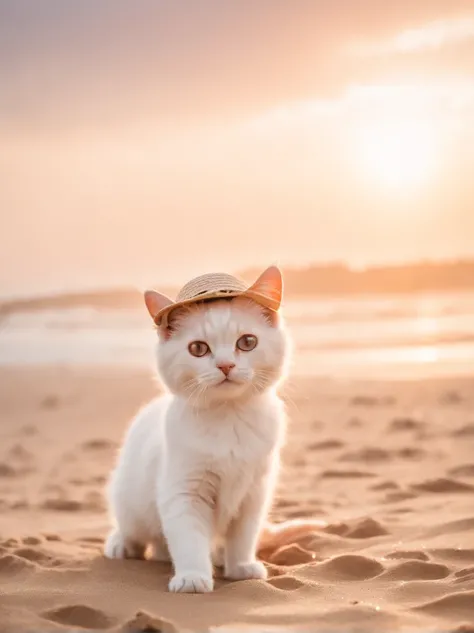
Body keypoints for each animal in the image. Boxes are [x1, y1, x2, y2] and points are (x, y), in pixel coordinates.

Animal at [102, 266, 320, 592]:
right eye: (197, 348)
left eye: (247, 342)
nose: (225, 365)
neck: (229, 419)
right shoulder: (183, 490)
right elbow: (189, 538)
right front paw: (192, 577)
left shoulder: (253, 493)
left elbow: (243, 535)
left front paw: (240, 566)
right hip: (128, 499)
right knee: (136, 532)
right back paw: (122, 545)